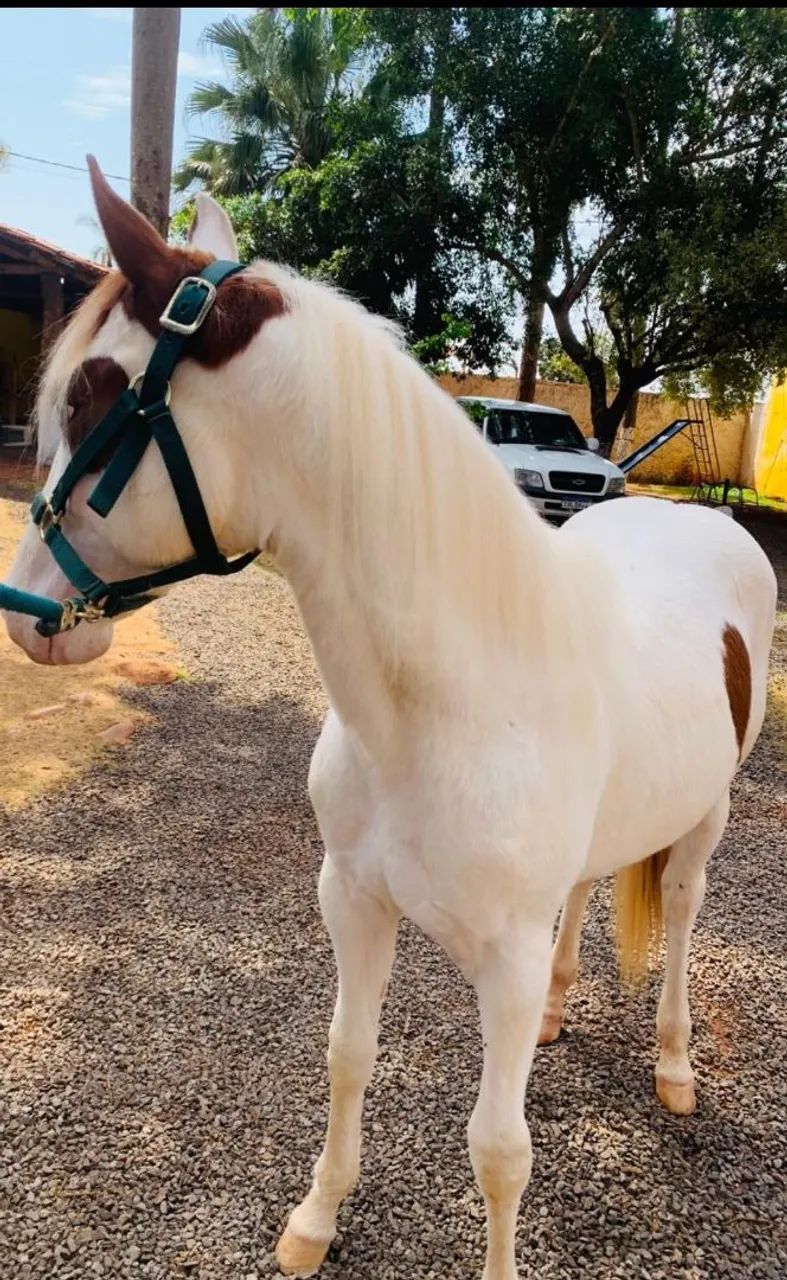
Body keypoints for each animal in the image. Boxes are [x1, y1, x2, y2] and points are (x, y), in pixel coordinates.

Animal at [2, 161, 777, 1280]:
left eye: (90, 392)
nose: (27, 616)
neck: (446, 708)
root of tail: (703, 524)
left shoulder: (500, 961)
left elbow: (498, 1150)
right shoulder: (354, 901)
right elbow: (346, 1056)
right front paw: (315, 1218)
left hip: (707, 816)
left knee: (677, 910)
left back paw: (673, 1063)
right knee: (588, 888)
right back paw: (560, 1008)